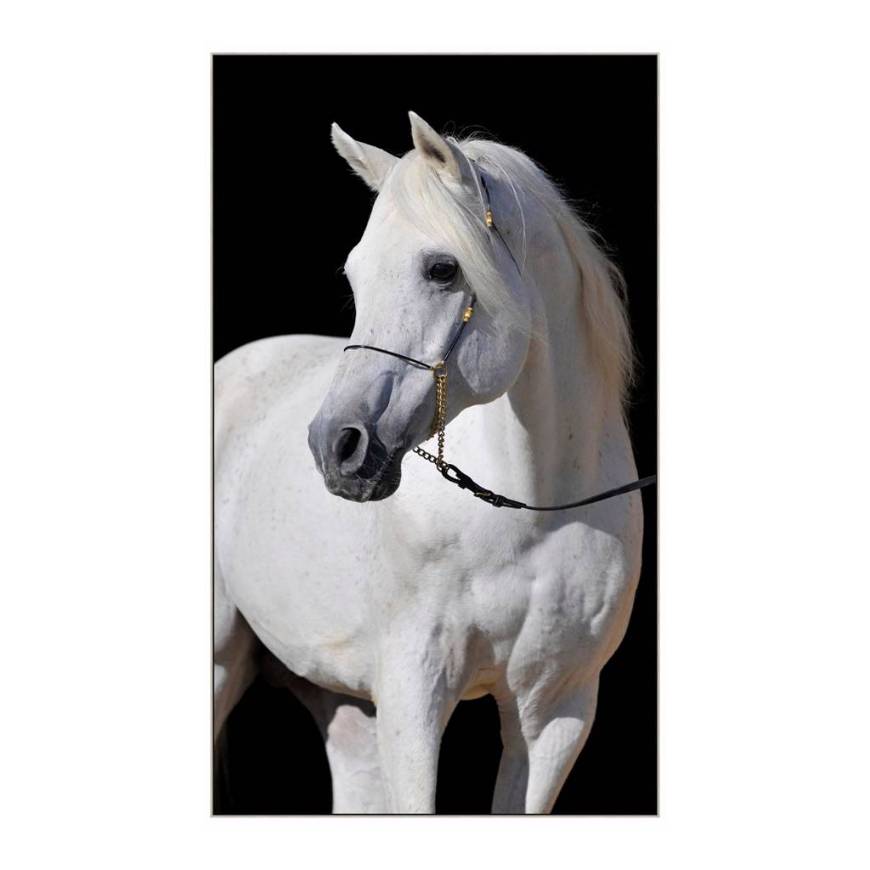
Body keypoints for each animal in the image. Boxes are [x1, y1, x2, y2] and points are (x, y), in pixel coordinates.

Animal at [214, 111, 645, 814]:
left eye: (442, 269)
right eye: (354, 275)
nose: (338, 446)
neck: (531, 513)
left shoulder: (556, 713)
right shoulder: (412, 696)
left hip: (343, 707)